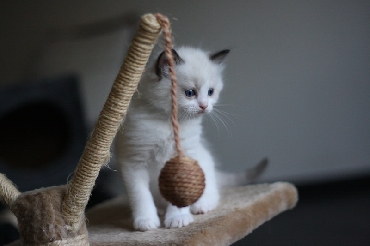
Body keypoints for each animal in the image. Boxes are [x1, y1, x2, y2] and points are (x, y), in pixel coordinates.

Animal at [115, 47, 266, 232]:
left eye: (210, 92)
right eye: (190, 93)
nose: (204, 106)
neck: (170, 123)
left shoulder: (184, 158)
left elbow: (180, 192)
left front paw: (178, 218)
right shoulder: (133, 161)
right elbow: (140, 196)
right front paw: (146, 221)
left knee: (212, 194)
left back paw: (200, 206)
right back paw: (161, 211)